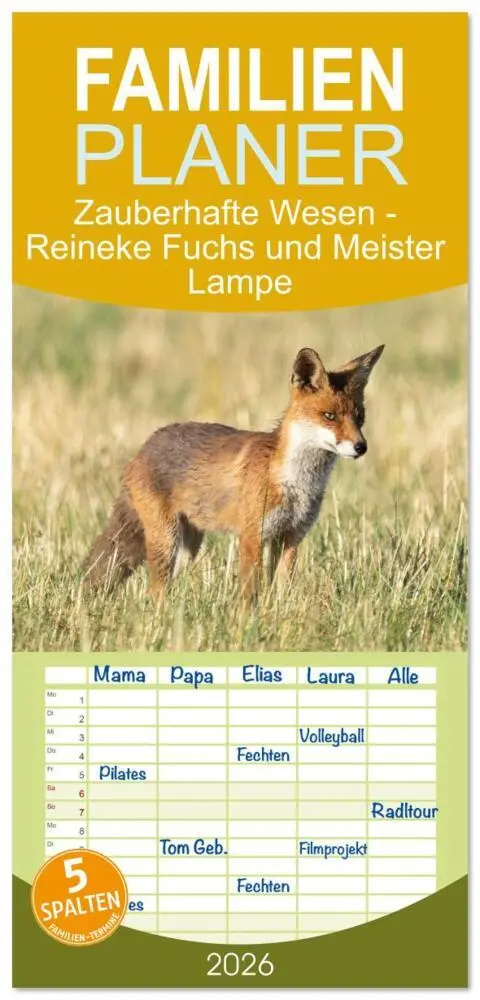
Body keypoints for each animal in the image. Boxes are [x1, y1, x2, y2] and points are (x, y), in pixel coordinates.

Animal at [84, 344, 384, 600]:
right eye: (329, 416)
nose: (361, 446)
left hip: (187, 548)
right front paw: (247, 624)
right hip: (166, 540)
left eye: (359, 417)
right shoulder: (252, 535)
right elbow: (250, 593)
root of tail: (141, 450)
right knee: (154, 592)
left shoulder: (290, 537)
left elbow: (282, 592)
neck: (295, 483)